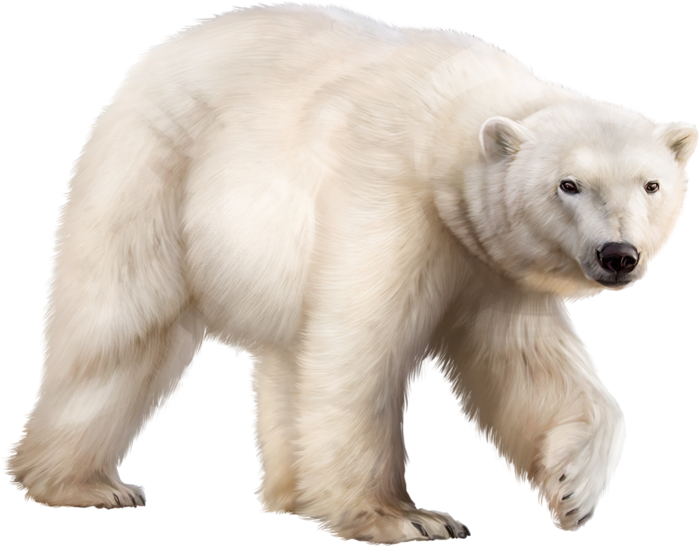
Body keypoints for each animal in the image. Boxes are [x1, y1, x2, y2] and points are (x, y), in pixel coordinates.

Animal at [3, 2, 697, 544]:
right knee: (118, 325)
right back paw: (84, 484)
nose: (618, 254)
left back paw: (292, 494)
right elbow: (363, 349)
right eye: (568, 184)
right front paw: (405, 519)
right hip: (152, 172)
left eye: (651, 184)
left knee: (286, 357)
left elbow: (527, 363)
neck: (445, 118)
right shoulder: (390, 195)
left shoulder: (485, 257)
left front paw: (573, 489)